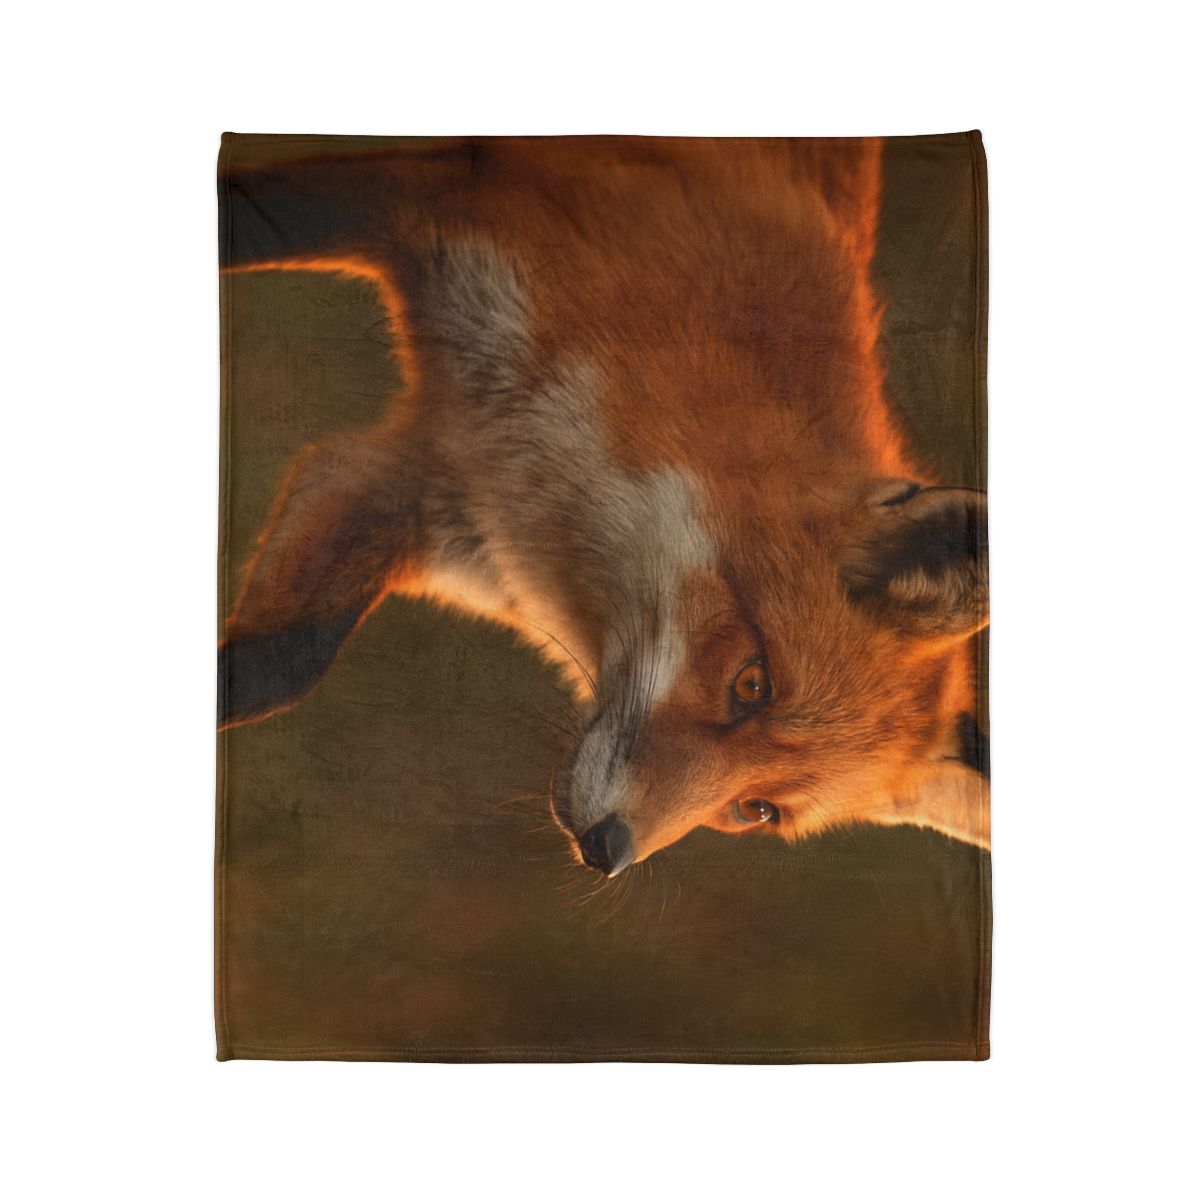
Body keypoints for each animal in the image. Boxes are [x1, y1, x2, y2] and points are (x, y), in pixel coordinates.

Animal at [218, 134, 989, 877]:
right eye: (752, 683)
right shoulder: (451, 197)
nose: (606, 851)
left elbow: (281, 666)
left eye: (757, 810)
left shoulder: (422, 490)